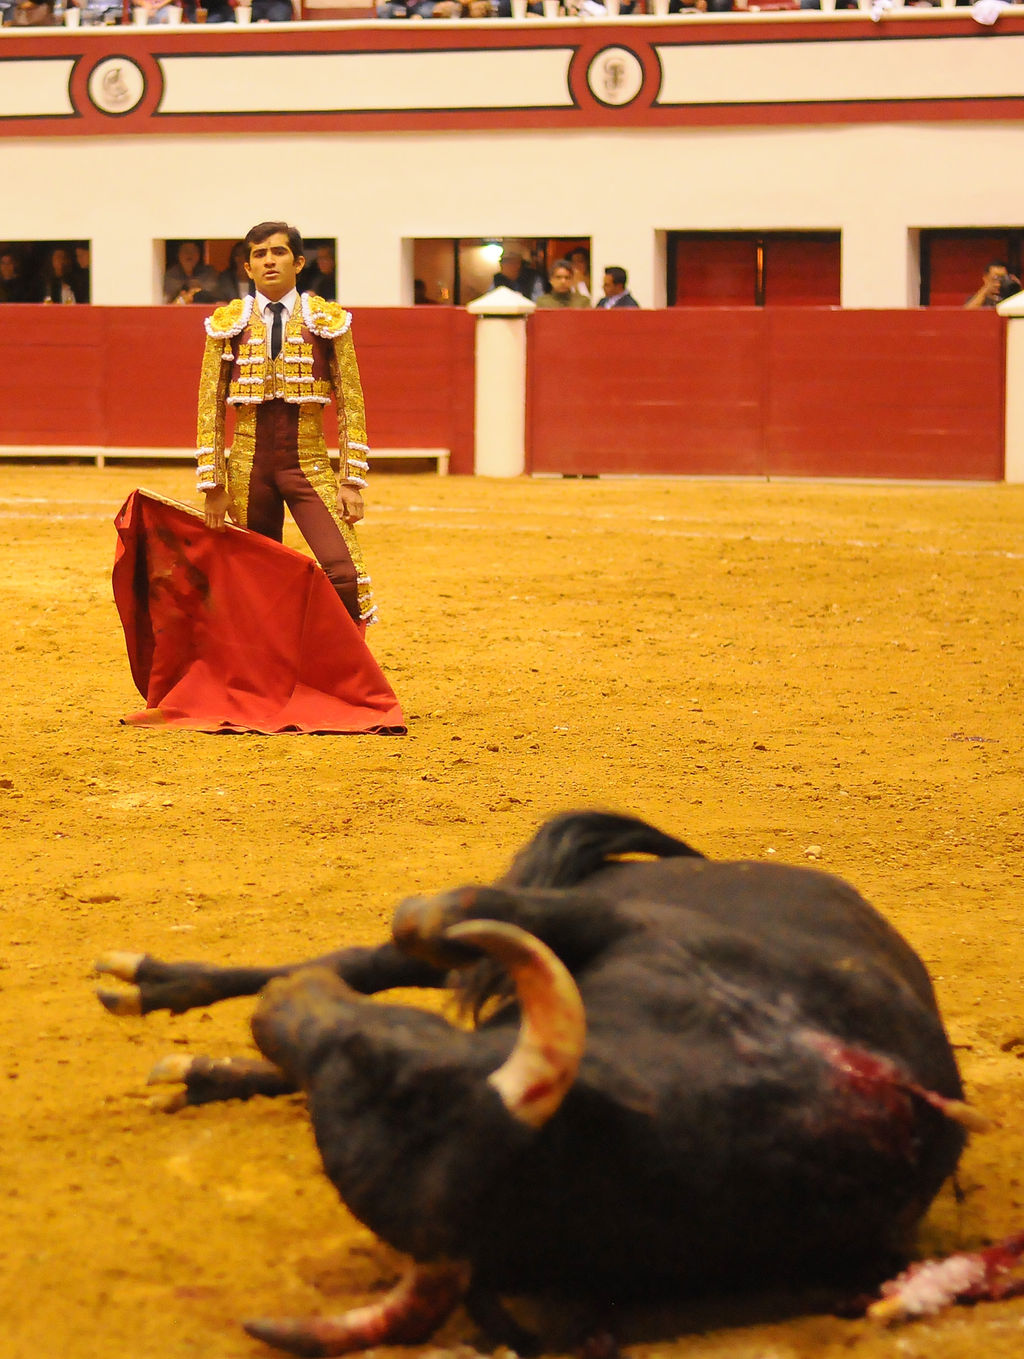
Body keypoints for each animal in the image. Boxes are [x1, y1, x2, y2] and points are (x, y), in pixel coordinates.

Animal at [95, 809, 1006, 1353]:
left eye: (372, 1063)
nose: (282, 1011)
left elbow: (421, 923)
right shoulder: (610, 922)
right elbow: (423, 921)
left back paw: (196, 1050)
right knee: (387, 954)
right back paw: (153, 983)